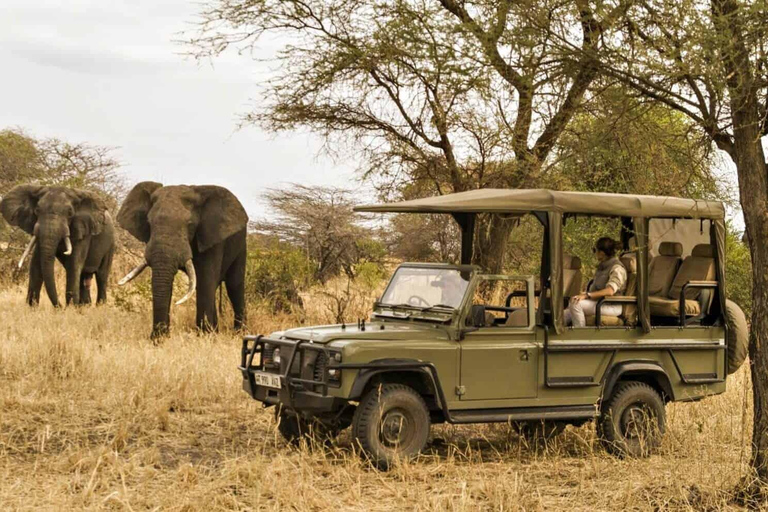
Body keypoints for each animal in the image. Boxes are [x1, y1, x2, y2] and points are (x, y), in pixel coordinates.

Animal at [115, 182, 248, 338]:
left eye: (190, 224)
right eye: (149, 222)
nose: (156, 337)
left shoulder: (211, 237)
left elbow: (205, 281)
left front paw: (205, 336)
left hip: (241, 244)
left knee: (234, 285)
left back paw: (240, 333)